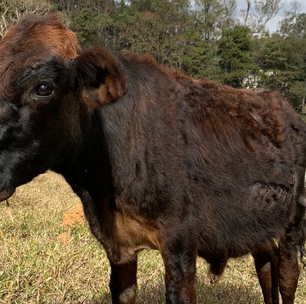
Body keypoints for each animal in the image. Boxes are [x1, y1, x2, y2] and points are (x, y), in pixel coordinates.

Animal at [0, 14, 306, 304]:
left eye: (43, 88)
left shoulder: (180, 243)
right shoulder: (118, 248)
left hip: (293, 222)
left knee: (287, 277)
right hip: (256, 224)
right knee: (265, 265)